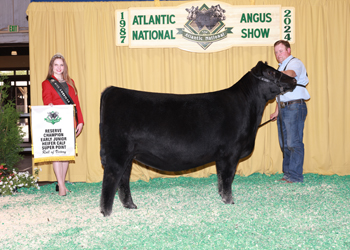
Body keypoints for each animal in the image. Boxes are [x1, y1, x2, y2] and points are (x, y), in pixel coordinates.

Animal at [100, 61, 296, 216]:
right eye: (271, 72)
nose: (294, 80)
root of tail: (112, 90)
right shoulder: (231, 153)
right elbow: (228, 177)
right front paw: (229, 201)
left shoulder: (221, 156)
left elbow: (221, 177)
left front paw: (221, 197)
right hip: (117, 153)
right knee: (111, 179)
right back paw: (106, 213)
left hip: (128, 155)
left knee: (123, 180)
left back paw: (130, 206)